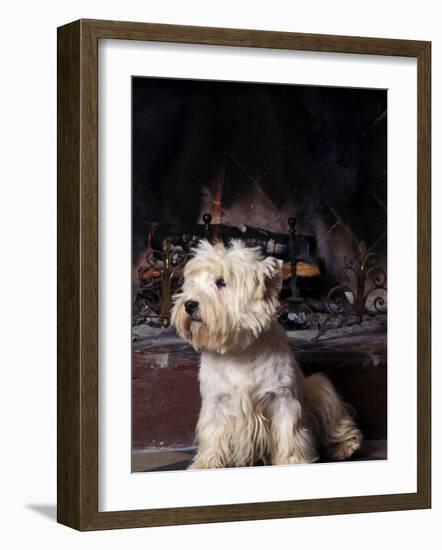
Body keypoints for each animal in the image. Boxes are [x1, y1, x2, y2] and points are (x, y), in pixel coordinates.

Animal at [171, 242, 360, 470]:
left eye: (221, 282)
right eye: (191, 282)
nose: (189, 304)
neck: (238, 349)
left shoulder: (282, 398)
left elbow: (289, 432)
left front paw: (292, 461)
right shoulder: (216, 401)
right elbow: (213, 433)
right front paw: (205, 464)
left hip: (320, 389)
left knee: (337, 421)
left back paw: (345, 447)